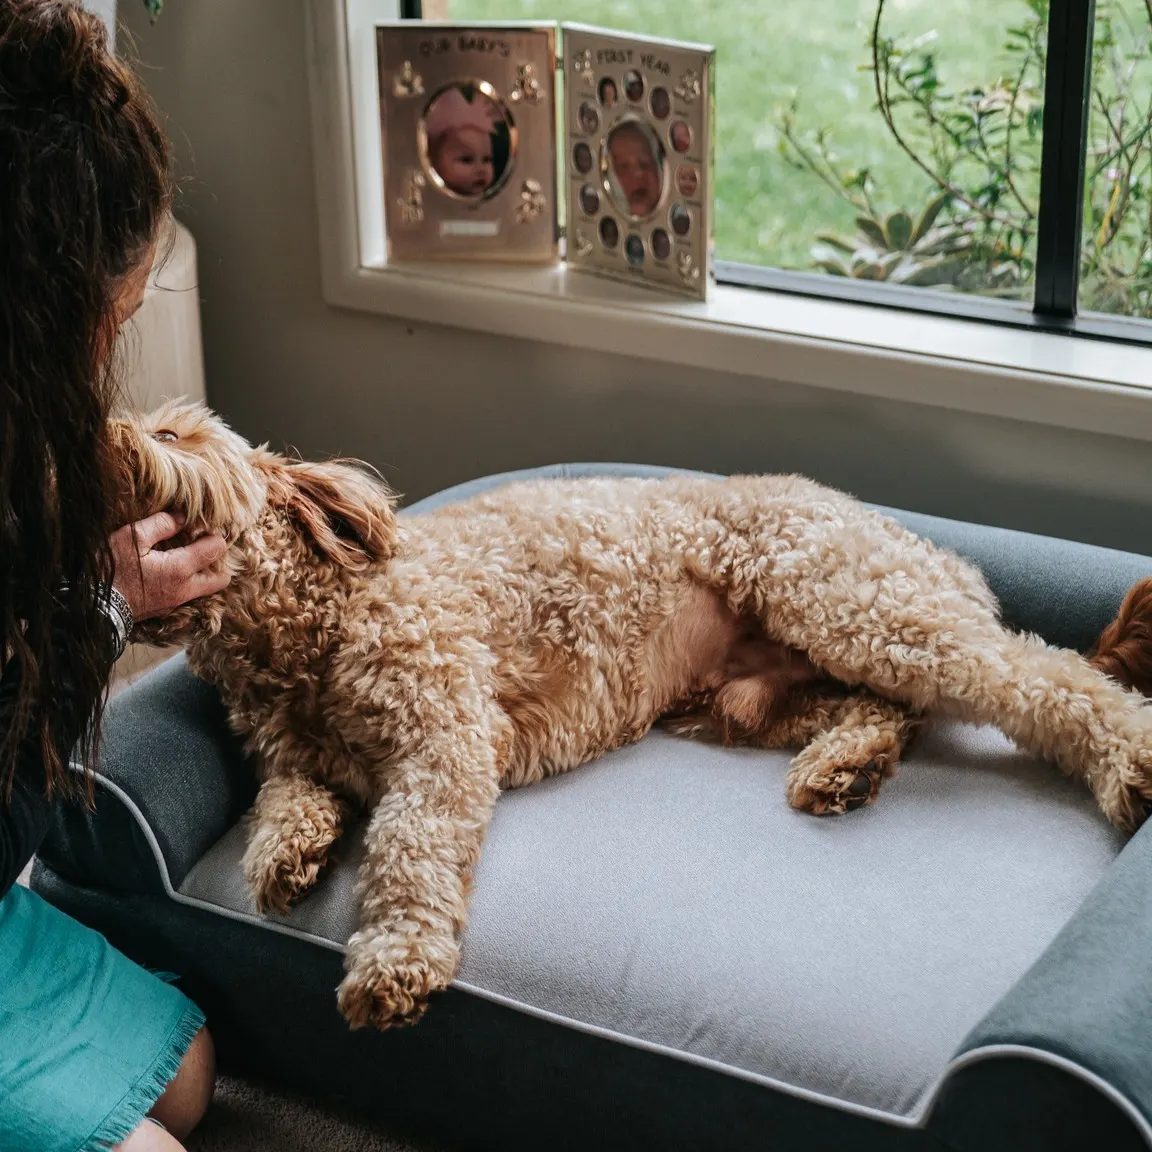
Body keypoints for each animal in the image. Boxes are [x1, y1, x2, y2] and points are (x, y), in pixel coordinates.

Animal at [110, 403, 1152, 1027]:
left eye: (179, 434)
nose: (103, 436)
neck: (302, 636)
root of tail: (938, 556)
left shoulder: (443, 737)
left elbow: (407, 851)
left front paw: (392, 961)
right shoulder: (293, 756)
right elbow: (287, 800)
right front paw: (286, 856)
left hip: (852, 604)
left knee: (1040, 677)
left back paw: (1128, 761)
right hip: (757, 694)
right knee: (889, 709)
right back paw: (846, 767)